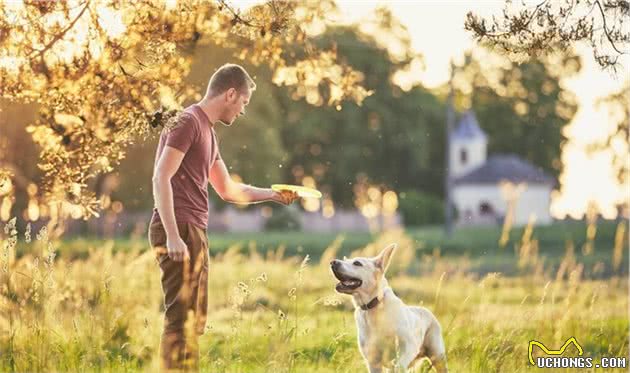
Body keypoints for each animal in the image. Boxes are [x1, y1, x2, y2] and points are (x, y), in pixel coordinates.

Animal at [330, 244, 450, 372]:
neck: (375, 306)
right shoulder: (373, 362)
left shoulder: (408, 348)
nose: (333, 262)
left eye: (357, 263)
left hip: (437, 356)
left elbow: (399, 364)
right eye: (346, 260)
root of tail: (426, 310)